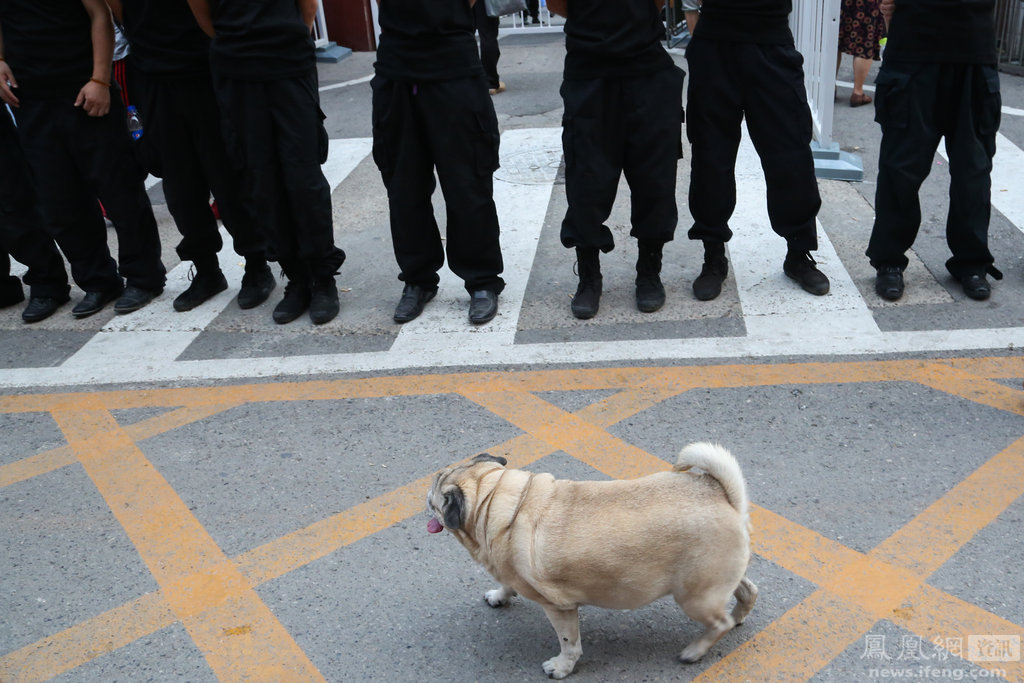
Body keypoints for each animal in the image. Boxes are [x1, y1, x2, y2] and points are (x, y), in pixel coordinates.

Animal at [423, 444, 753, 679]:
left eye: (435, 498)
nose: (426, 494)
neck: (498, 502)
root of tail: (723, 495)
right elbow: (506, 583)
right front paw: (499, 596)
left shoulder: (559, 608)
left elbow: (569, 642)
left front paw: (562, 667)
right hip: (717, 580)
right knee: (748, 591)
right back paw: (738, 616)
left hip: (695, 597)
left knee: (719, 623)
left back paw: (695, 651)